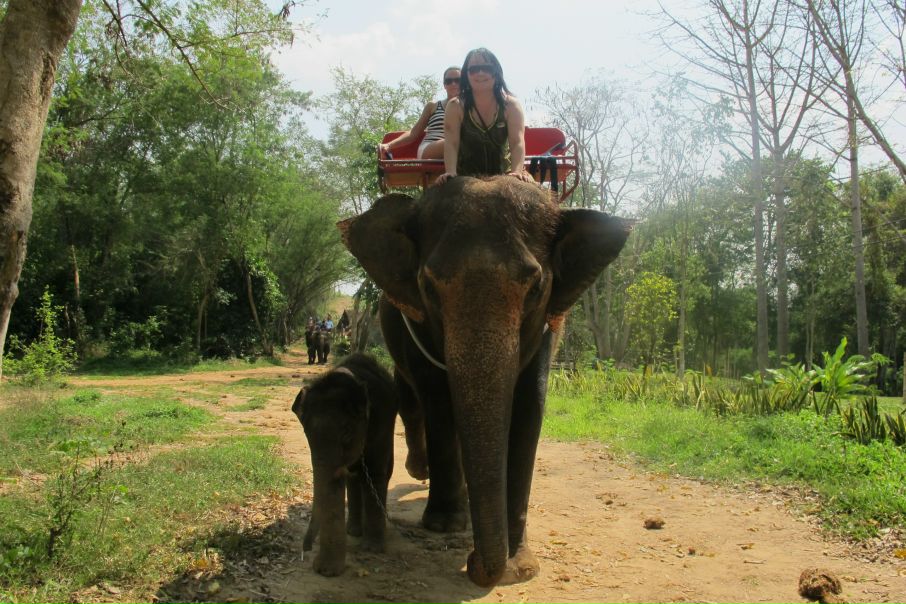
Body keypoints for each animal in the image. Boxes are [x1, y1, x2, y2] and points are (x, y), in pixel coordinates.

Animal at [291, 352, 398, 577]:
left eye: (347, 434)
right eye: (307, 435)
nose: (306, 549)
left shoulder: (382, 420)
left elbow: (375, 473)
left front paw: (373, 549)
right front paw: (327, 570)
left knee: (379, 475)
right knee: (355, 479)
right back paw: (354, 531)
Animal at [338, 176, 631, 587]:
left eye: (535, 288)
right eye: (428, 287)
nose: (475, 562)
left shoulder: (548, 331)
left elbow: (529, 408)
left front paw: (521, 566)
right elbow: (439, 402)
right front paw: (445, 526)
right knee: (411, 399)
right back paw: (423, 474)